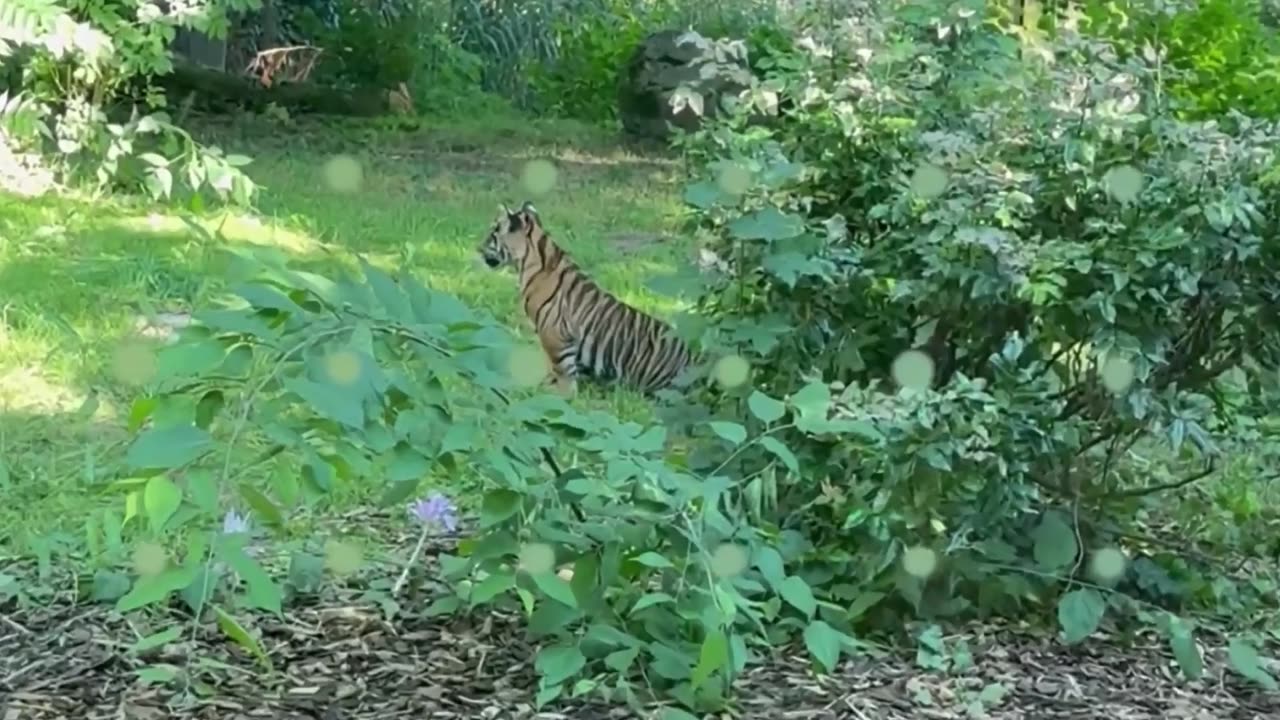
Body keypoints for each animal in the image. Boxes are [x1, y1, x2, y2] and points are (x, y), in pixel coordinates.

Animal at [481, 198, 696, 394]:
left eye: (492, 234)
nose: (478, 249)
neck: (529, 262)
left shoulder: (554, 335)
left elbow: (561, 373)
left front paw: (555, 393)